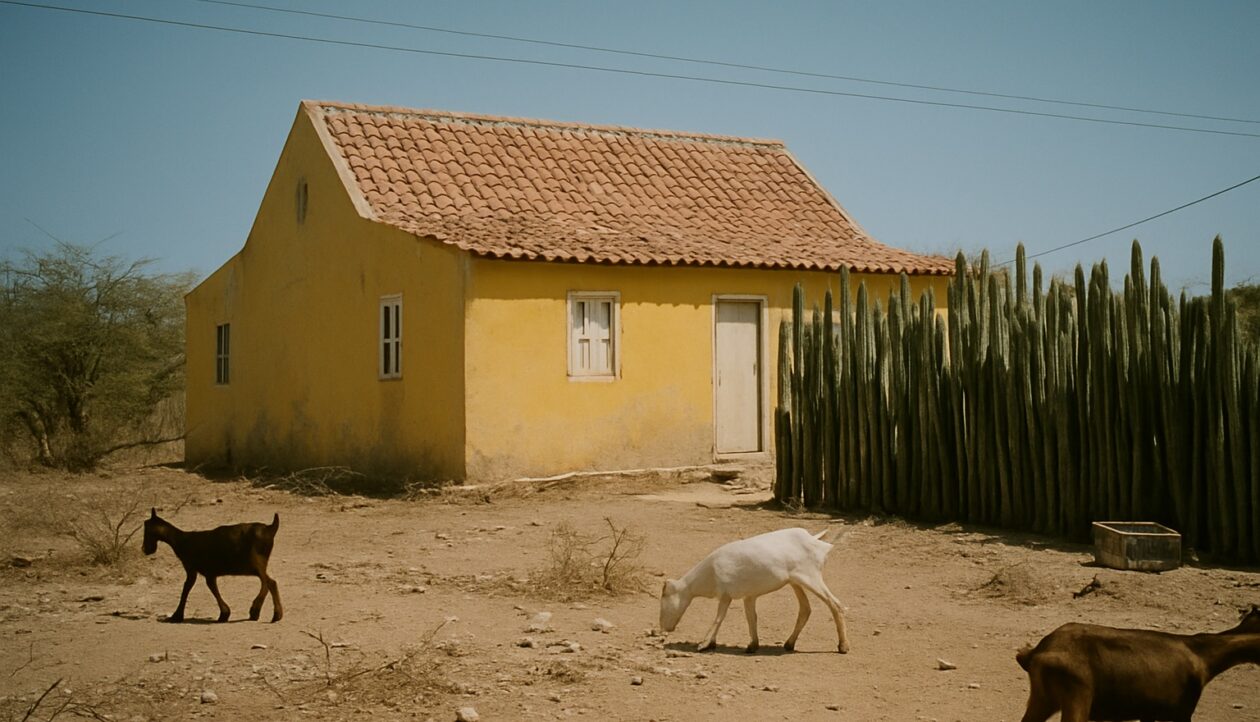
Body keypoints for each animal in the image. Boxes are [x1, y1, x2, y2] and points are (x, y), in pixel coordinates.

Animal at [142, 508, 283, 623]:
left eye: (147, 529)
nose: (145, 549)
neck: (181, 541)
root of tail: (270, 528)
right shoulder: (209, 572)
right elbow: (210, 586)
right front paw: (224, 614)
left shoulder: (192, 568)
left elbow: (187, 588)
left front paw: (176, 616)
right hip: (257, 565)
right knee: (267, 582)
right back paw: (260, 612)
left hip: (256, 561)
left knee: (270, 582)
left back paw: (271, 614)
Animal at [659, 527, 849, 653]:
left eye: (663, 598)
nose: (663, 627)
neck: (710, 573)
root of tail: (817, 542)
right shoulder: (748, 596)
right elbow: (751, 618)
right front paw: (752, 645)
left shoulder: (725, 595)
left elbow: (719, 618)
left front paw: (703, 644)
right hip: (795, 582)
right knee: (805, 609)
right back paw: (789, 644)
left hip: (811, 578)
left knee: (835, 604)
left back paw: (843, 647)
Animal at [1016, 605, 1260, 722]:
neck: (1201, 655)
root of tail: (1036, 652)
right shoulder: (1182, 712)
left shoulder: (1148, 712)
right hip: (1076, 698)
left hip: (1043, 700)